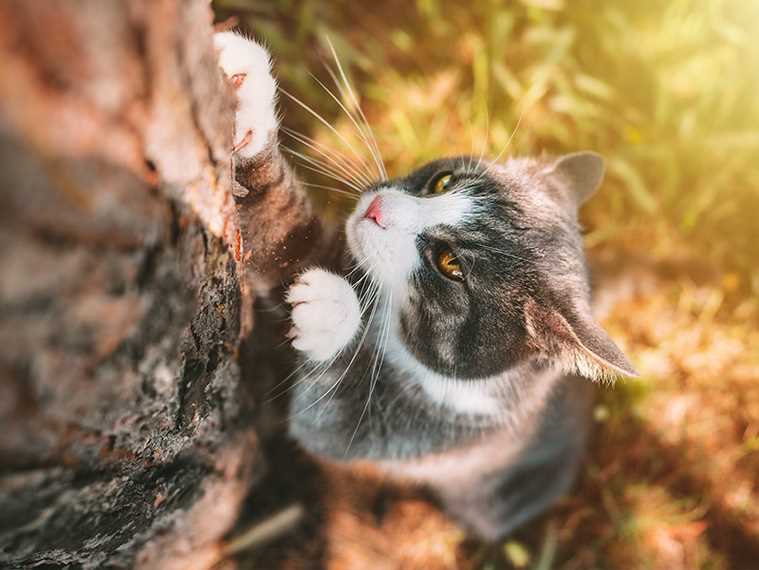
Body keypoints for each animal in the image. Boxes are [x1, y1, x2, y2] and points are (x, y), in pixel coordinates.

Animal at [217, 32, 640, 540]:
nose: (376, 208)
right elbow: (282, 236)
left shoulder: (438, 430)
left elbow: (330, 415)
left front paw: (332, 311)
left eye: (450, 264)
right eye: (443, 180)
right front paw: (247, 96)